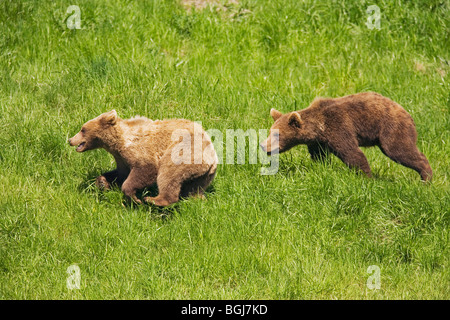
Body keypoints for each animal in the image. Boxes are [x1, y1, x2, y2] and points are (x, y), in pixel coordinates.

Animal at [67, 109, 220, 205]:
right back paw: (197, 199)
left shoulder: (139, 149)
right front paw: (102, 182)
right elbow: (121, 173)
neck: (118, 142)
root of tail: (212, 159)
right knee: (194, 188)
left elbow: (146, 169)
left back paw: (154, 200)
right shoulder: (121, 158)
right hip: (204, 175)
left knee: (168, 174)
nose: (70, 140)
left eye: (82, 129)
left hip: (185, 152)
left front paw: (134, 197)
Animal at [260, 91, 432, 181]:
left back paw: (426, 177)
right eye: (270, 131)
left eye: (277, 135)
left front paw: (366, 177)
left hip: (392, 128)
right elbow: (320, 155)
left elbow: (352, 153)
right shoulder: (318, 141)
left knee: (399, 149)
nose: (263, 145)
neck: (319, 128)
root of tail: (408, 114)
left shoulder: (338, 127)